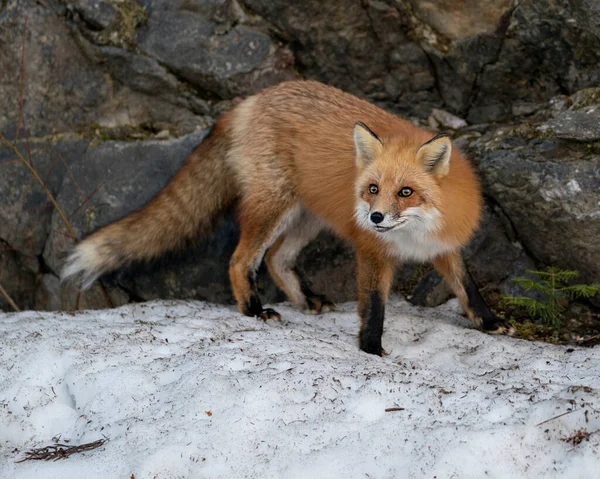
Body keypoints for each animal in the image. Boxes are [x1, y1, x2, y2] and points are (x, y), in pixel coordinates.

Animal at [64, 79, 516, 356]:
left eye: (406, 192)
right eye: (373, 188)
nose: (375, 217)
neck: (416, 235)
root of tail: (253, 99)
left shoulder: (445, 246)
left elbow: (468, 288)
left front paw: (491, 323)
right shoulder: (372, 253)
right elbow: (374, 306)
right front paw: (371, 349)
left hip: (307, 218)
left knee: (277, 259)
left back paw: (305, 300)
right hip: (273, 208)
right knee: (241, 260)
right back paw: (254, 310)